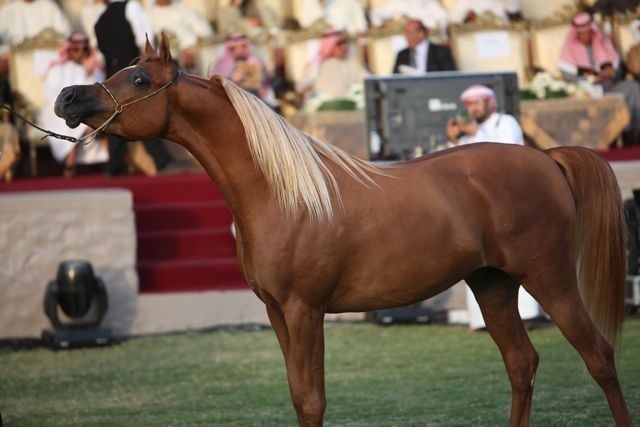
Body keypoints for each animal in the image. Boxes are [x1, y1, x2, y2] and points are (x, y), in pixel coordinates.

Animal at [54, 34, 631, 426]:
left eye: (139, 80)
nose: (67, 98)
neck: (282, 194)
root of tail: (546, 158)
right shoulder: (277, 313)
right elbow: (297, 396)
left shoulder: (305, 310)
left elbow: (313, 400)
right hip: (492, 284)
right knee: (521, 364)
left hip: (550, 279)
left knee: (599, 358)